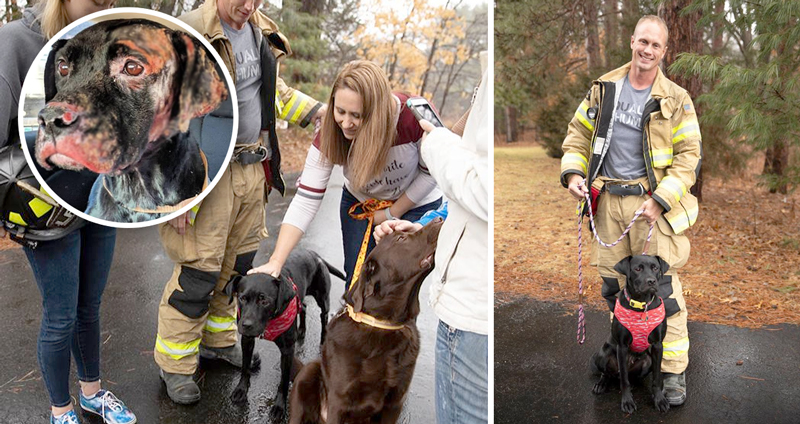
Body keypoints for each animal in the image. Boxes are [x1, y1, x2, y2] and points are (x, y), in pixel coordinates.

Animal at [225, 250, 340, 420]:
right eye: (242, 298)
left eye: (264, 301)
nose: (246, 325)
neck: (270, 322)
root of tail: (314, 254)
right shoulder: (247, 340)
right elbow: (245, 368)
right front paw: (241, 389)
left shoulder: (287, 351)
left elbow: (284, 381)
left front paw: (279, 406)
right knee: (303, 306)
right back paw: (301, 330)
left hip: (323, 299)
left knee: (323, 316)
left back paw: (323, 339)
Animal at [290, 219, 444, 424]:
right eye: (401, 238)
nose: (439, 219)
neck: (383, 323)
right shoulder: (338, 401)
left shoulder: (395, 402)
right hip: (308, 375)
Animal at [592, 255, 672, 414]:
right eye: (637, 269)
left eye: (655, 268)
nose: (651, 281)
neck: (642, 305)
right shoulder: (622, 346)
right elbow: (624, 380)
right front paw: (627, 401)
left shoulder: (658, 345)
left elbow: (657, 377)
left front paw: (659, 400)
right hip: (602, 355)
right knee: (610, 374)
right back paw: (601, 384)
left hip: (648, 362)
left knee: (633, 377)